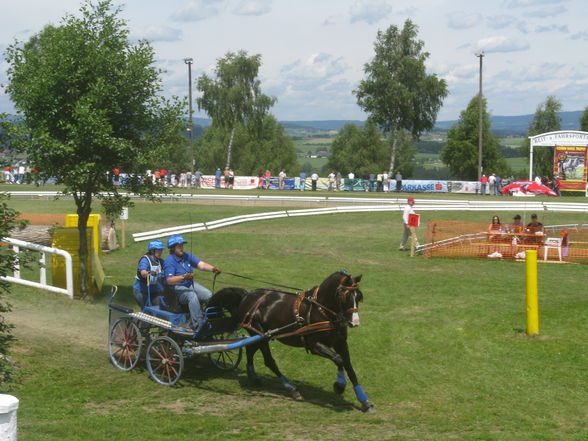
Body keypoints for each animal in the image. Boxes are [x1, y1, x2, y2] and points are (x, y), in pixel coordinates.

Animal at [209, 268, 374, 412]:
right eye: (345, 296)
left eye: (359, 296)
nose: (355, 322)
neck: (322, 310)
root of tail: (247, 295)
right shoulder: (314, 345)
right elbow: (338, 359)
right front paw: (339, 386)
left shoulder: (341, 343)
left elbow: (349, 368)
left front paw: (364, 401)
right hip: (261, 334)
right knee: (269, 360)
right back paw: (291, 388)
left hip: (260, 334)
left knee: (250, 349)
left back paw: (253, 377)